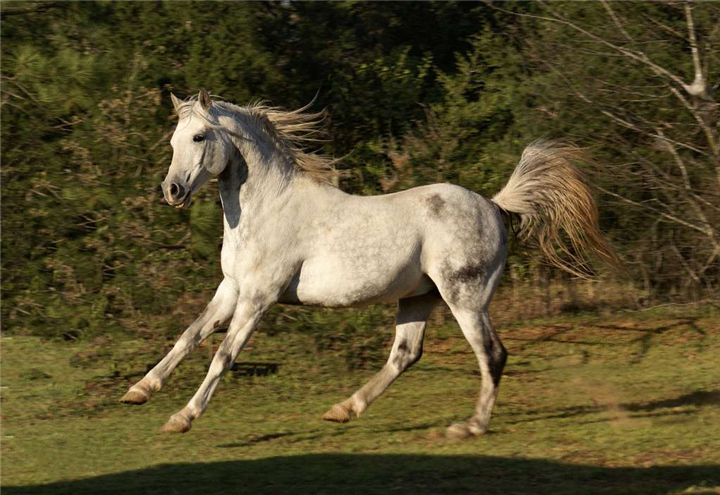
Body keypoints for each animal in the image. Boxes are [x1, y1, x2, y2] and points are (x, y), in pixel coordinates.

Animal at [120, 89, 619, 438]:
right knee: (405, 355)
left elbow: (222, 355)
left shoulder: (259, 297)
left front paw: (182, 417)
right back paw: (344, 409)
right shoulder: (231, 289)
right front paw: (138, 391)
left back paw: (469, 427)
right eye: (173, 140)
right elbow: (188, 336)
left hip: (465, 298)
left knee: (491, 354)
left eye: (199, 137)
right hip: (420, 298)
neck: (268, 207)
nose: (171, 191)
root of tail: (495, 205)